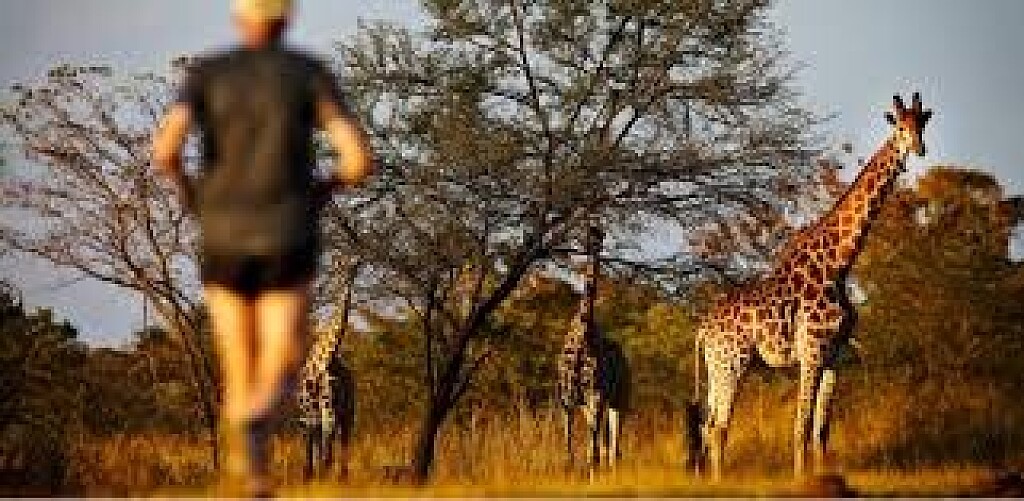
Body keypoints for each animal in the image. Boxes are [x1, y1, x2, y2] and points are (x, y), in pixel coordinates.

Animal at [557, 225, 630, 475]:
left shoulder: (596, 393)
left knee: (614, 445)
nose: (596, 247)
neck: (583, 333)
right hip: (592, 401)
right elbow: (569, 450)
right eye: (590, 236)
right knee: (605, 441)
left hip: (620, 397)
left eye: (600, 236)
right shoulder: (567, 398)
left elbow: (594, 452)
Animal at [689, 93, 933, 479]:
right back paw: (719, 482)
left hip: (716, 366)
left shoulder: (836, 355)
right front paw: (800, 479)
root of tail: (702, 329)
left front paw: (820, 476)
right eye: (898, 125)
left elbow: (821, 428)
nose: (918, 148)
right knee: (718, 426)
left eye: (922, 124)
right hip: (733, 363)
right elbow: (801, 424)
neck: (839, 264)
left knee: (707, 424)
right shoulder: (812, 350)